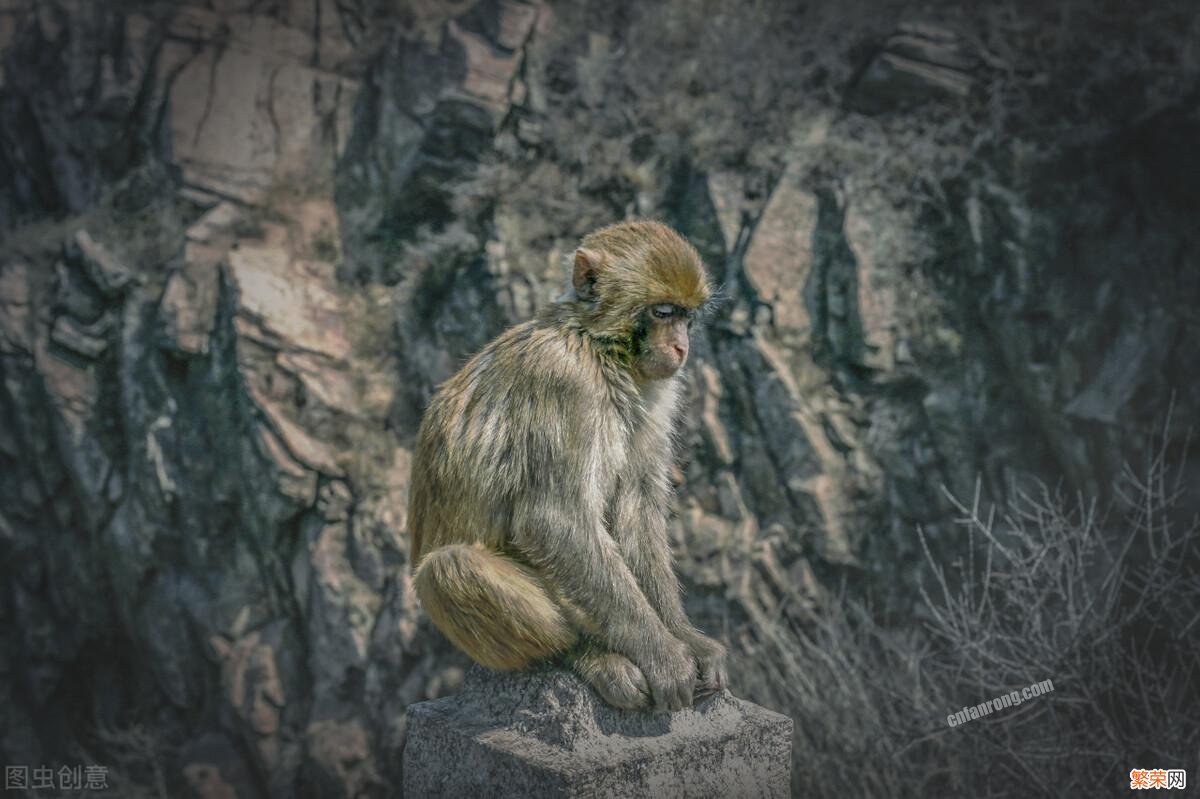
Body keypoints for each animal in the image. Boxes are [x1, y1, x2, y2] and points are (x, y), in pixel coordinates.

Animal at [408, 218, 724, 710]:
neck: (599, 347)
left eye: (686, 316)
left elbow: (636, 511)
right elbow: (555, 520)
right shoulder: (564, 382)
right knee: (448, 568)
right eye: (662, 312)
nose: (681, 347)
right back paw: (587, 653)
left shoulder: (660, 391)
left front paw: (685, 638)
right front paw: (663, 657)